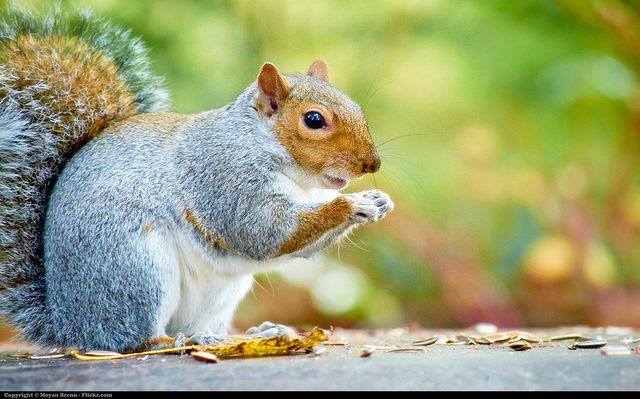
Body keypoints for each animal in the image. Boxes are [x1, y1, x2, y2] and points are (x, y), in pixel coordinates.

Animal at [0, 7, 392, 352]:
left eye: (356, 106)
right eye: (314, 120)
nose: (371, 164)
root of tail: (68, 324)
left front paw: (377, 201)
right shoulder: (224, 177)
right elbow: (265, 230)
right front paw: (350, 204)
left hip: (215, 295)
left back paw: (245, 334)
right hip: (134, 269)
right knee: (130, 338)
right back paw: (175, 341)